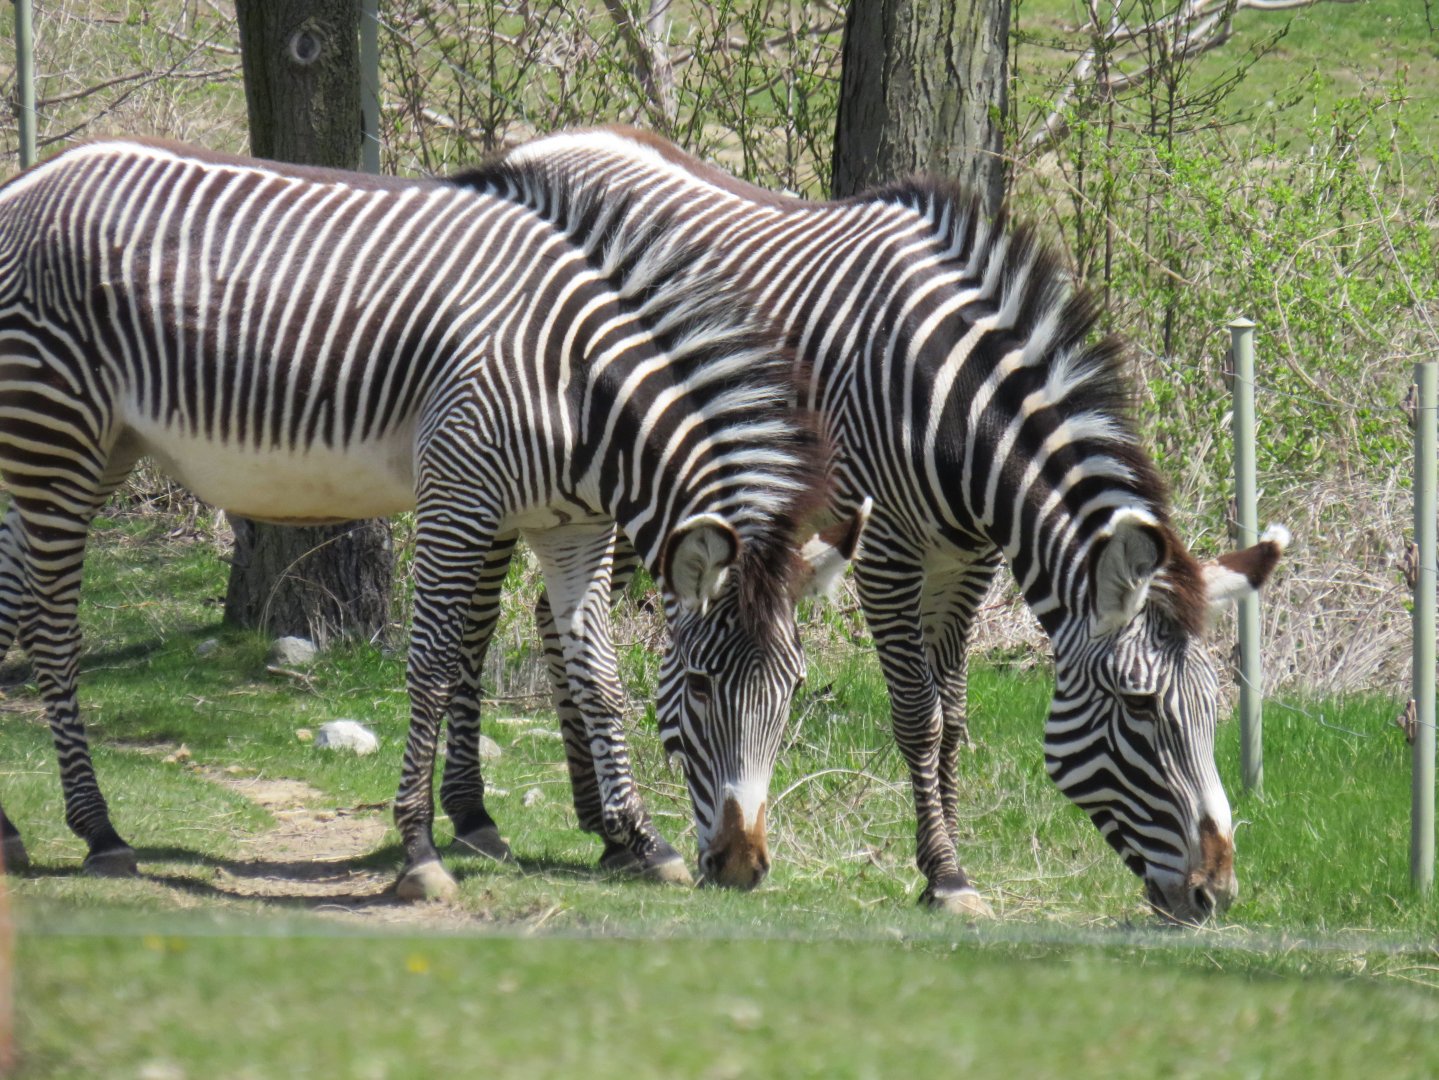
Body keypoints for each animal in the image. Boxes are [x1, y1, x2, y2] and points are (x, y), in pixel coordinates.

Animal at [0, 139, 863, 899]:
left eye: (792, 687)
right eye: (702, 685)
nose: (744, 868)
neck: (581, 390)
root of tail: (26, 182)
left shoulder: (575, 527)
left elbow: (599, 675)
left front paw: (640, 841)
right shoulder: (458, 496)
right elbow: (435, 667)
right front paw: (420, 851)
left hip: (85, 451)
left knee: (11, 611)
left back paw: (11, 831)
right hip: (57, 442)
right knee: (48, 632)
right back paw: (100, 833)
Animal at [452, 126, 1290, 921]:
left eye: (1213, 711)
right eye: (1140, 709)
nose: (1214, 895)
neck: (956, 407)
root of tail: (543, 145)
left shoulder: (965, 560)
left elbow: (953, 713)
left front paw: (948, 858)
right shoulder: (887, 548)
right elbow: (918, 715)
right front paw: (944, 875)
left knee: (555, 615)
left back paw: (612, 830)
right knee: (476, 619)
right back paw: (475, 820)